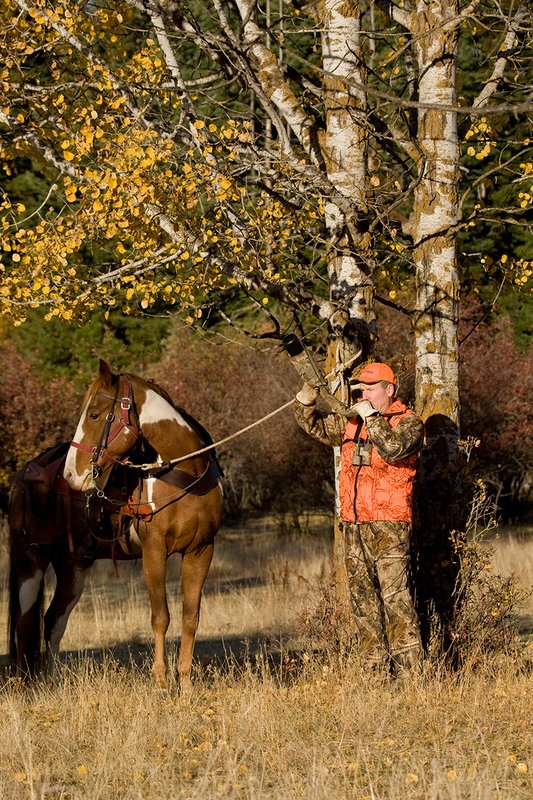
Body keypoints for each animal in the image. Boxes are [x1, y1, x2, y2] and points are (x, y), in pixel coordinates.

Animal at [8, 360, 224, 691]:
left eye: (95, 414)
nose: (71, 474)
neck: (187, 473)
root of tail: (25, 474)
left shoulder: (201, 550)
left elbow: (190, 616)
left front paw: (186, 684)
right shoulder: (154, 552)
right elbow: (160, 617)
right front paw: (161, 683)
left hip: (73, 567)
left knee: (54, 621)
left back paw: (53, 683)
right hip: (30, 560)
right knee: (23, 624)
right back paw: (23, 689)